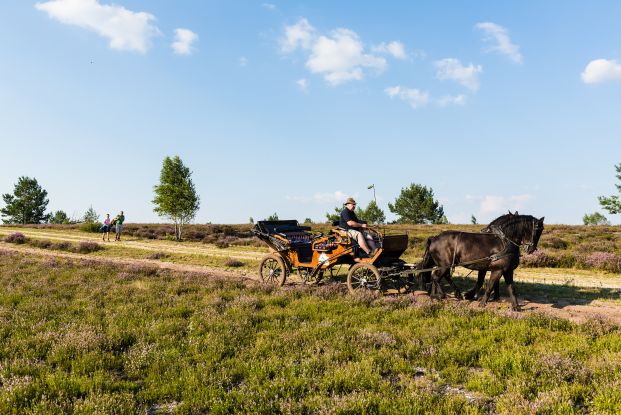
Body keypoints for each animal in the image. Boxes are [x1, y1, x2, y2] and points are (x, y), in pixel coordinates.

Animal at [416, 216, 544, 310]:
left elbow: (511, 288)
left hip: (443, 265)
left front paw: (516, 307)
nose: (531, 249)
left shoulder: (507, 270)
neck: (505, 242)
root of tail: (434, 238)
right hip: (444, 265)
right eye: (537, 230)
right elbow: (489, 286)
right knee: (436, 277)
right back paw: (441, 295)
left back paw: (437, 295)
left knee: (438, 276)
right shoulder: (497, 270)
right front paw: (482, 303)